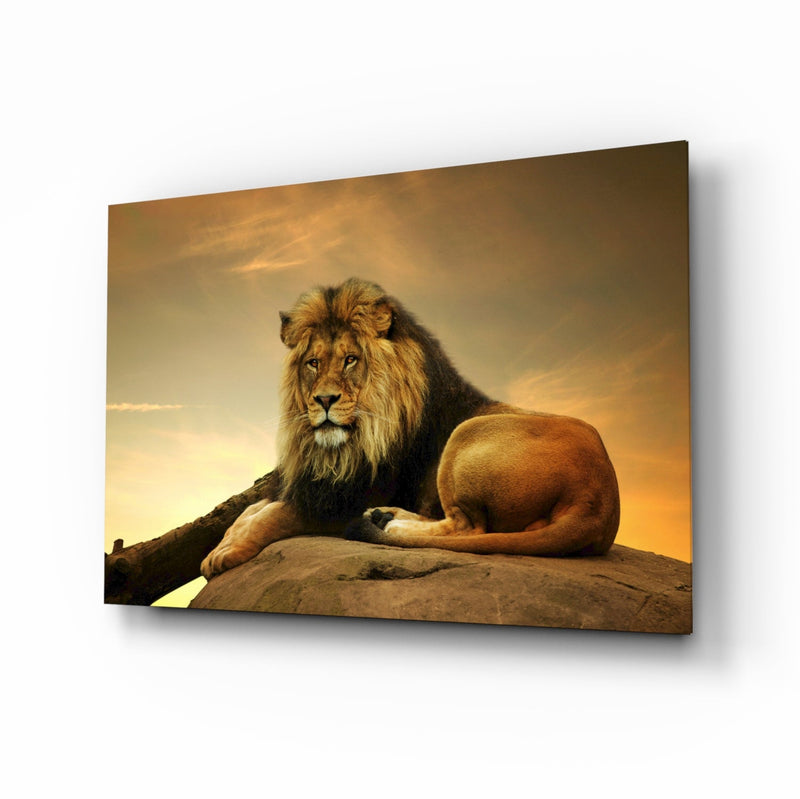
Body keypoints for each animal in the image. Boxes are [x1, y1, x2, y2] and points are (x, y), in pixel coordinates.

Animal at [200, 277, 620, 579]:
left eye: (351, 359)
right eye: (313, 363)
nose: (324, 400)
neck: (342, 447)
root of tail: (600, 499)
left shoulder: (343, 498)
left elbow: (274, 515)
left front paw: (225, 554)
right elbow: (252, 509)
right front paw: (223, 544)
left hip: (466, 436)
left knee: (469, 529)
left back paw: (389, 525)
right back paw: (385, 517)